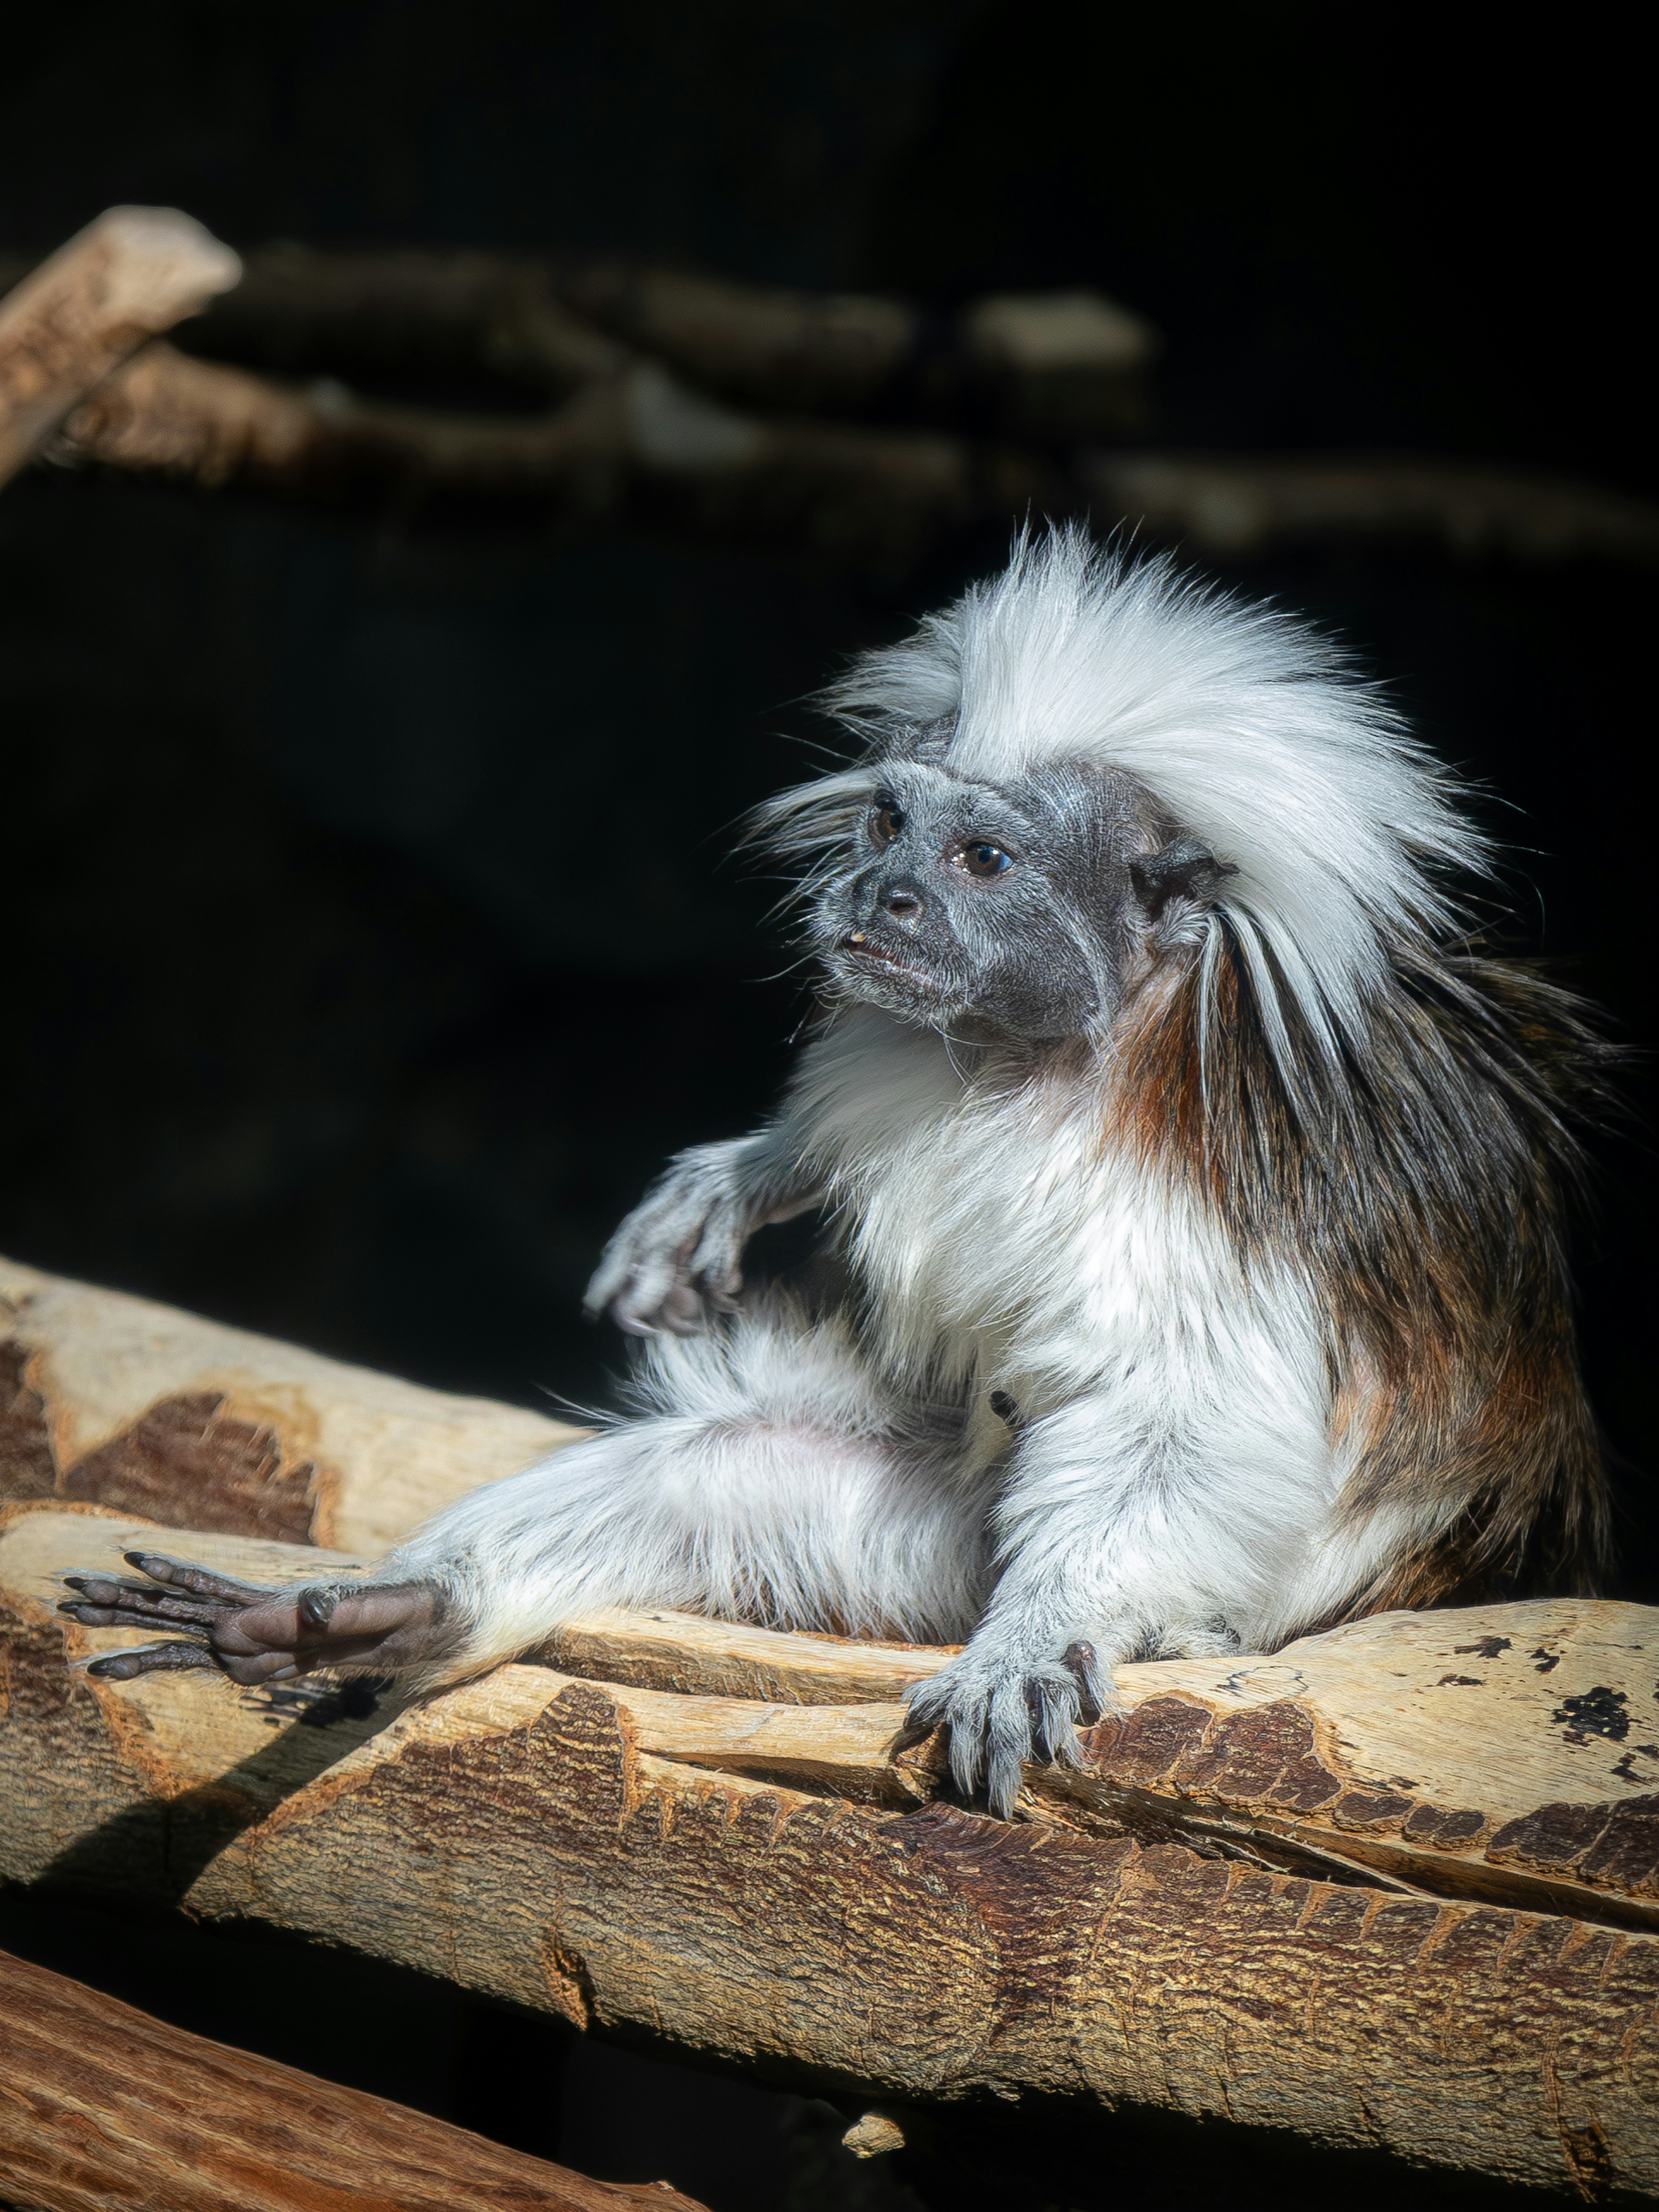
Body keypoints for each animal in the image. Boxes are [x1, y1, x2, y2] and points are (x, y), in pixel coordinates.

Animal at [65, 531, 1610, 1814]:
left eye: (982, 857)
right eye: (885, 829)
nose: (881, 896)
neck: (1042, 1062)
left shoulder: (1209, 1195)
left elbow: (1178, 1421)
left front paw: (1039, 1640)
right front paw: (739, 1178)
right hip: (938, 1546)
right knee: (708, 1474)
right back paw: (411, 1613)